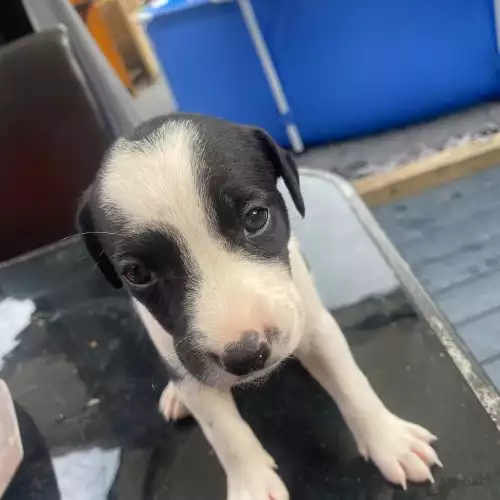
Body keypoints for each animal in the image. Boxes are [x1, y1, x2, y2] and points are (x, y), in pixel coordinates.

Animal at [76, 114, 440, 500]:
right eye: (138, 273)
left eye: (255, 217)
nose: (246, 356)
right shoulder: (189, 365)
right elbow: (227, 435)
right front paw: (251, 482)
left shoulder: (315, 329)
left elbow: (352, 385)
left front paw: (390, 441)